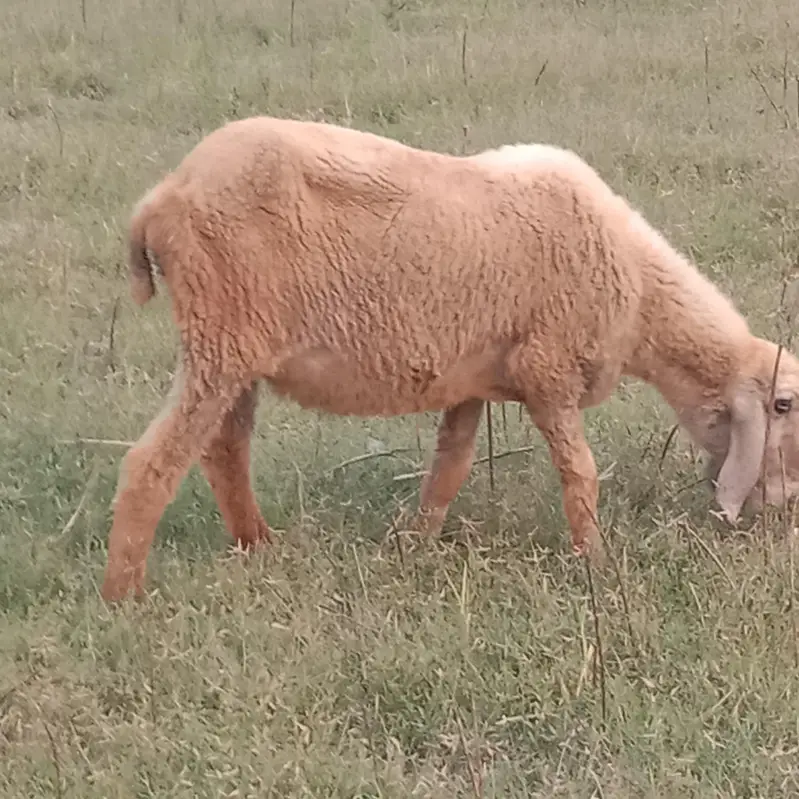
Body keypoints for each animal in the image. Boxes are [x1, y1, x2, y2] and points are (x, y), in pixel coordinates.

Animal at [100, 114, 799, 602]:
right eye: (784, 404)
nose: (786, 511)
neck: (639, 292)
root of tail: (162, 196)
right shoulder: (549, 369)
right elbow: (581, 474)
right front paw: (596, 564)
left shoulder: (474, 376)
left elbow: (452, 465)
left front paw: (416, 544)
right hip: (220, 337)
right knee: (152, 463)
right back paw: (123, 597)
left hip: (237, 349)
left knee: (225, 450)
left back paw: (260, 546)